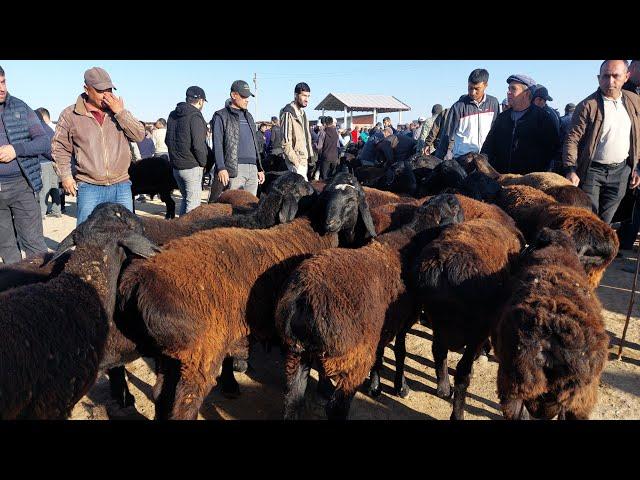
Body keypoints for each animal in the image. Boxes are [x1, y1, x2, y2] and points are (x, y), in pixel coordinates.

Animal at [115, 171, 378, 418]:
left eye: (352, 198)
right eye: (306, 189)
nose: (330, 223)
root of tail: (139, 278)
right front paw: (233, 380)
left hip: (167, 352)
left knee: (160, 393)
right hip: (199, 352)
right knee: (182, 403)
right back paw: (125, 397)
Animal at [276, 193, 464, 418]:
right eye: (456, 210)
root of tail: (302, 298)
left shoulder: (386, 323)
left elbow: (383, 352)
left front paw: (376, 385)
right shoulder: (405, 319)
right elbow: (400, 351)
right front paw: (401, 386)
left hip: (296, 354)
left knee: (292, 398)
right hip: (351, 359)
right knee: (337, 407)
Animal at [416, 218, 524, 420]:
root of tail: (444, 266)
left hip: (439, 323)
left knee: (438, 351)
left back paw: (443, 388)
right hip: (476, 329)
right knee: (462, 372)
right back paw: (457, 413)